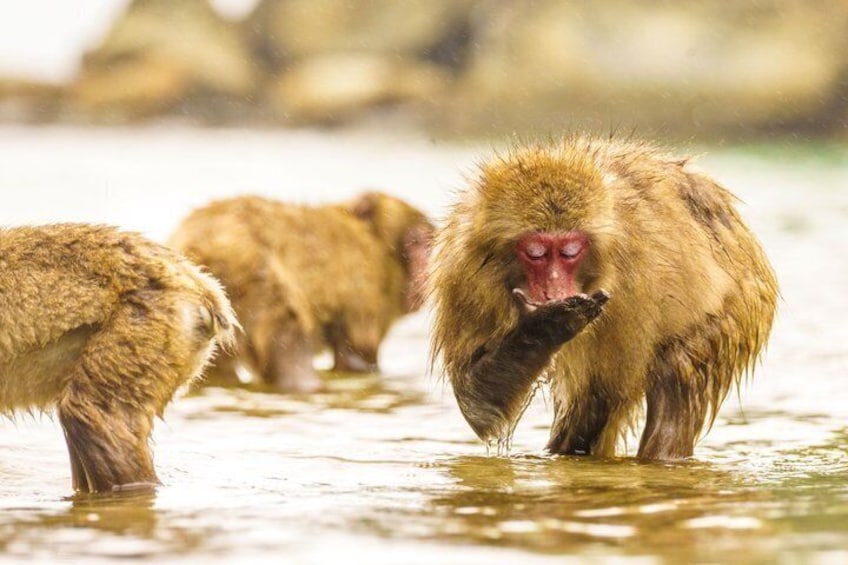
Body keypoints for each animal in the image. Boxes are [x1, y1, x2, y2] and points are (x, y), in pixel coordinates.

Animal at [170, 191, 434, 393]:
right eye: (417, 243)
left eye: (428, 245)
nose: (427, 269)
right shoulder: (366, 290)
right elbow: (357, 355)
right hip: (258, 281)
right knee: (288, 338)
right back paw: (307, 385)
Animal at [429, 135, 778, 460]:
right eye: (536, 252)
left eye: (570, 251)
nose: (554, 287)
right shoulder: (464, 274)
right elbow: (476, 402)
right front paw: (543, 328)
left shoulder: (637, 278)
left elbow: (608, 391)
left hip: (743, 304)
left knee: (676, 371)